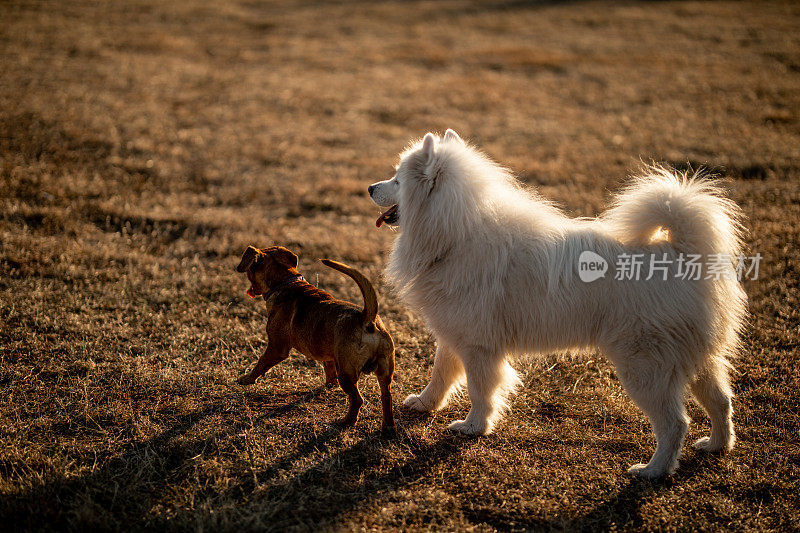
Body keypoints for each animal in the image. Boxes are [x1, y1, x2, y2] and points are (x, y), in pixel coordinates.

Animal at [234, 245, 396, 432]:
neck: (287, 282)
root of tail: (366, 318)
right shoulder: (330, 356)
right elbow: (329, 370)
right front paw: (329, 386)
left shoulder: (276, 348)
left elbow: (260, 363)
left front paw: (247, 379)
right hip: (384, 372)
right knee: (386, 397)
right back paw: (388, 427)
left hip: (347, 373)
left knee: (357, 399)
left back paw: (346, 421)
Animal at [372, 130, 748, 478]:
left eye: (397, 179)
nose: (370, 187)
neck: (455, 235)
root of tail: (683, 254)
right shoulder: (455, 334)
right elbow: (441, 374)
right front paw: (424, 404)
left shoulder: (479, 347)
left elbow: (481, 392)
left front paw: (473, 428)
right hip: (696, 360)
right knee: (722, 402)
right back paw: (717, 445)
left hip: (644, 366)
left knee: (675, 423)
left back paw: (653, 471)